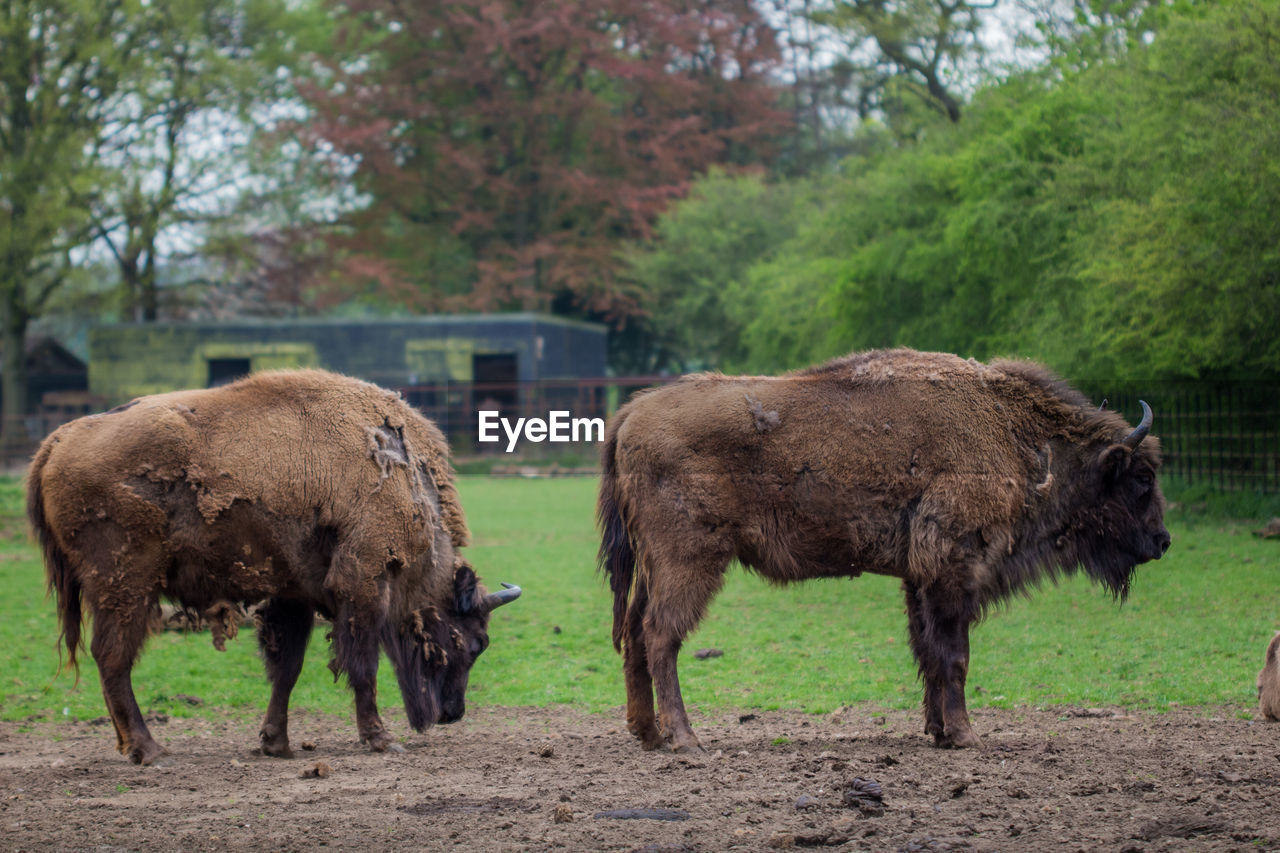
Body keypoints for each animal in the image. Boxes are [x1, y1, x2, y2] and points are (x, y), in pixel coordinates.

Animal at [24, 368, 517, 758]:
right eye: (476, 643)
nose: (453, 714)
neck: (407, 480)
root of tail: (58, 440)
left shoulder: (292, 595)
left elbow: (287, 670)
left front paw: (275, 743)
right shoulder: (363, 585)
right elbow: (362, 665)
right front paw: (380, 739)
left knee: (110, 658)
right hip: (126, 587)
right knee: (113, 659)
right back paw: (148, 749)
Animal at [599, 348, 1172, 747]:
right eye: (1141, 478)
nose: (1163, 541)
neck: (1012, 435)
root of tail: (630, 415)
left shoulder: (919, 579)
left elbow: (928, 653)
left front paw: (939, 732)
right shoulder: (953, 570)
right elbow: (955, 655)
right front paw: (967, 735)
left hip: (653, 567)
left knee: (635, 632)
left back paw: (648, 734)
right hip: (689, 562)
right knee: (661, 635)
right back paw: (686, 739)